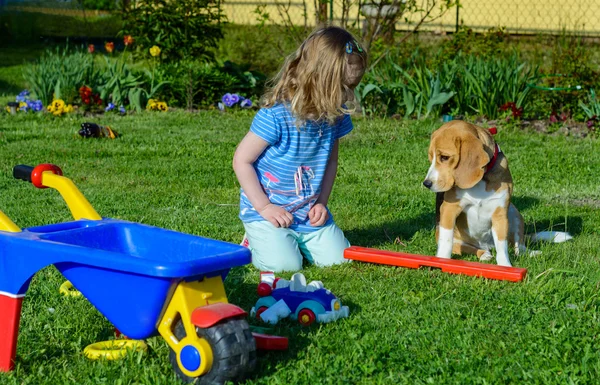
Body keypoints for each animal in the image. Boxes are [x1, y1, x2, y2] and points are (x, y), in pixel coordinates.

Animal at [422, 121, 520, 266]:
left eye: (444, 157)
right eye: (431, 158)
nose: (426, 183)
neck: (481, 180)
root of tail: (486, 245)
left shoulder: (500, 214)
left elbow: (502, 246)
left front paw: (505, 266)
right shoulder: (449, 209)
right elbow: (446, 241)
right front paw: (442, 260)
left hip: (514, 212)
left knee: (519, 244)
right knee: (469, 248)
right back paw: (484, 254)